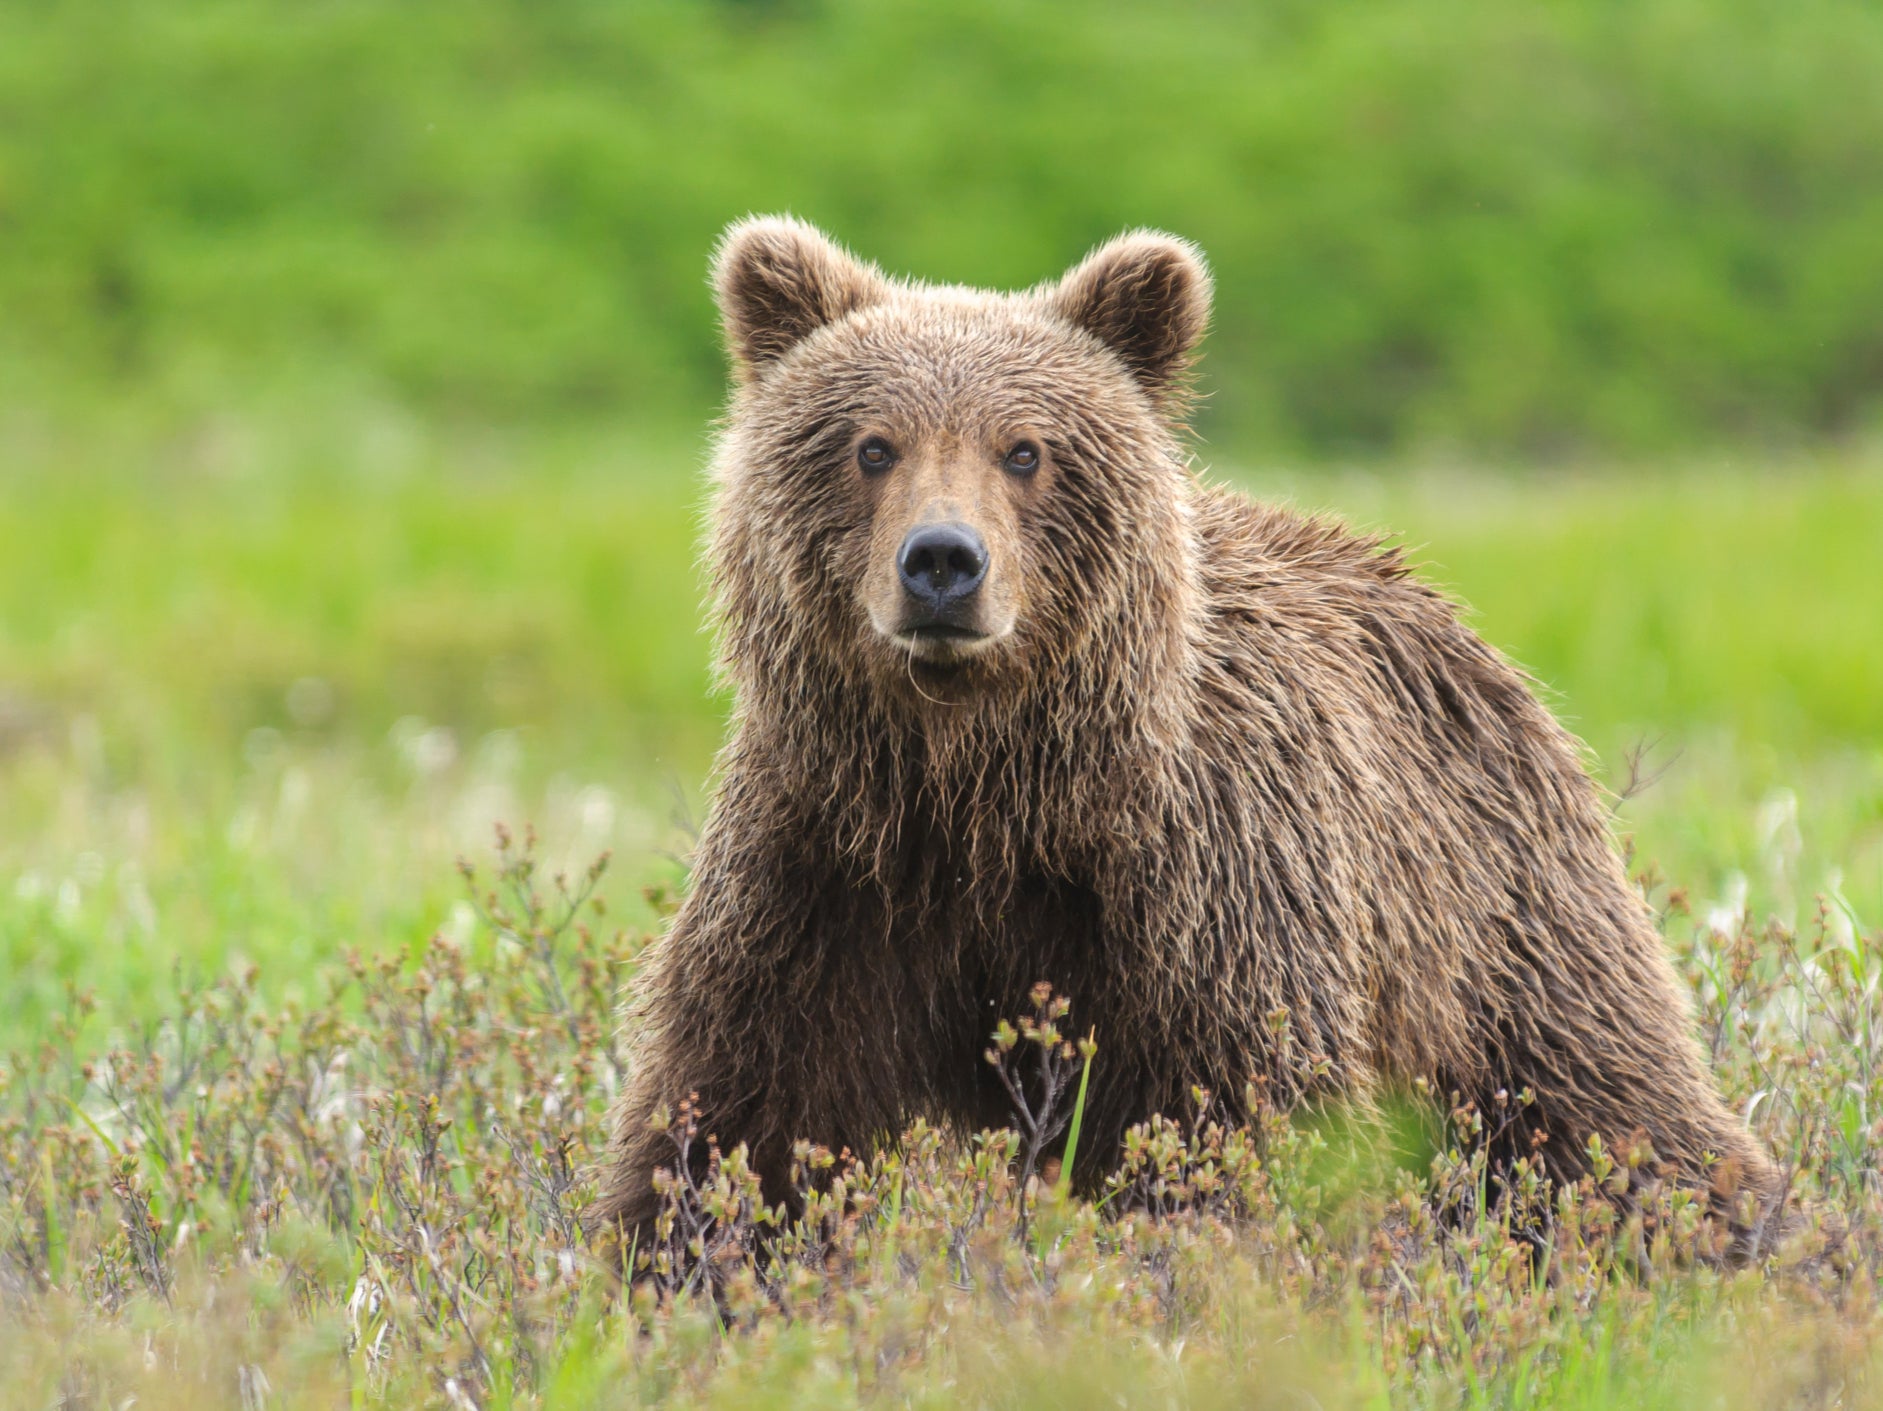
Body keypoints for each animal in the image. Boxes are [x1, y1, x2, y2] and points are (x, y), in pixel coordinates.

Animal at [591, 217, 1777, 1258]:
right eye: (870, 445)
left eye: (1024, 449)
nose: (941, 561)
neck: (983, 791)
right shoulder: (824, 872)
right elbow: (739, 1120)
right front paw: (685, 1264)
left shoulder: (1198, 892)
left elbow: (1238, 1123)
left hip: (1492, 911)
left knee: (1604, 1106)